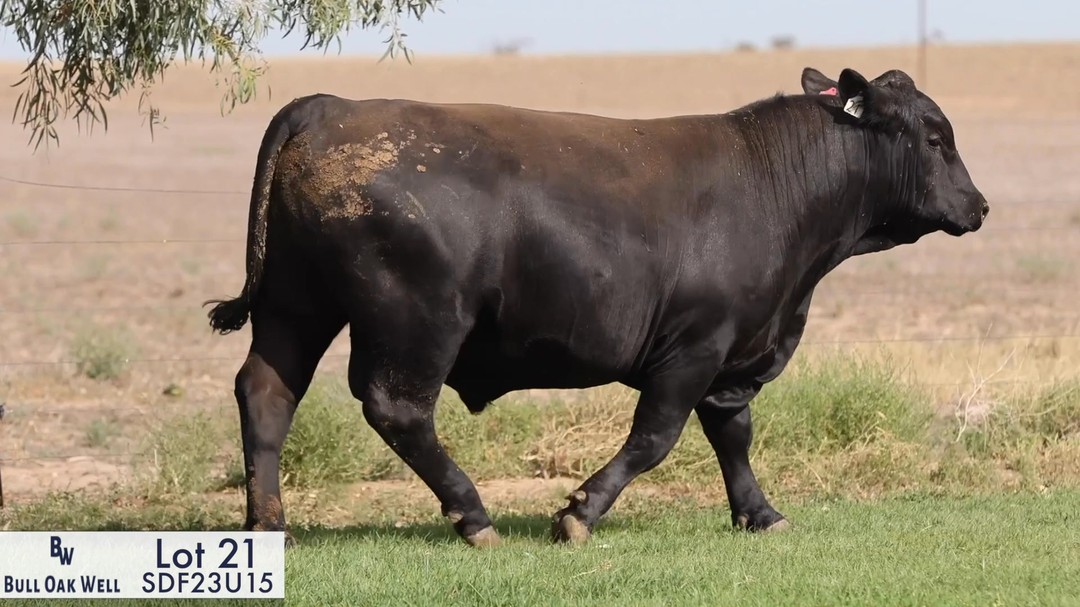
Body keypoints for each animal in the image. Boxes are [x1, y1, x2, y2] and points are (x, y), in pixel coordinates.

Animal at [206, 66, 988, 547]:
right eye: (935, 137)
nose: (979, 205)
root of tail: (332, 105)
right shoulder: (694, 346)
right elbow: (655, 436)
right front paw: (580, 511)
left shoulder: (735, 353)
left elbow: (732, 434)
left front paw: (760, 513)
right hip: (415, 322)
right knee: (397, 411)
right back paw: (473, 514)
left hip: (295, 306)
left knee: (267, 394)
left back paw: (269, 525)